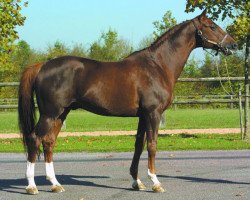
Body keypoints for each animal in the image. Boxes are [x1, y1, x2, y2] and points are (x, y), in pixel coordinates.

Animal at [18, 10, 237, 195]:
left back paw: (55, 184)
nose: (233, 45)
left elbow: (139, 145)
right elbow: (152, 145)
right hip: (50, 114)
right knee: (34, 139)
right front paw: (155, 182)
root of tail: (42, 65)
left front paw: (136, 182)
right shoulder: (153, 114)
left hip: (61, 114)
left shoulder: (142, 116)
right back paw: (31, 186)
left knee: (49, 142)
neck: (157, 65)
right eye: (212, 26)